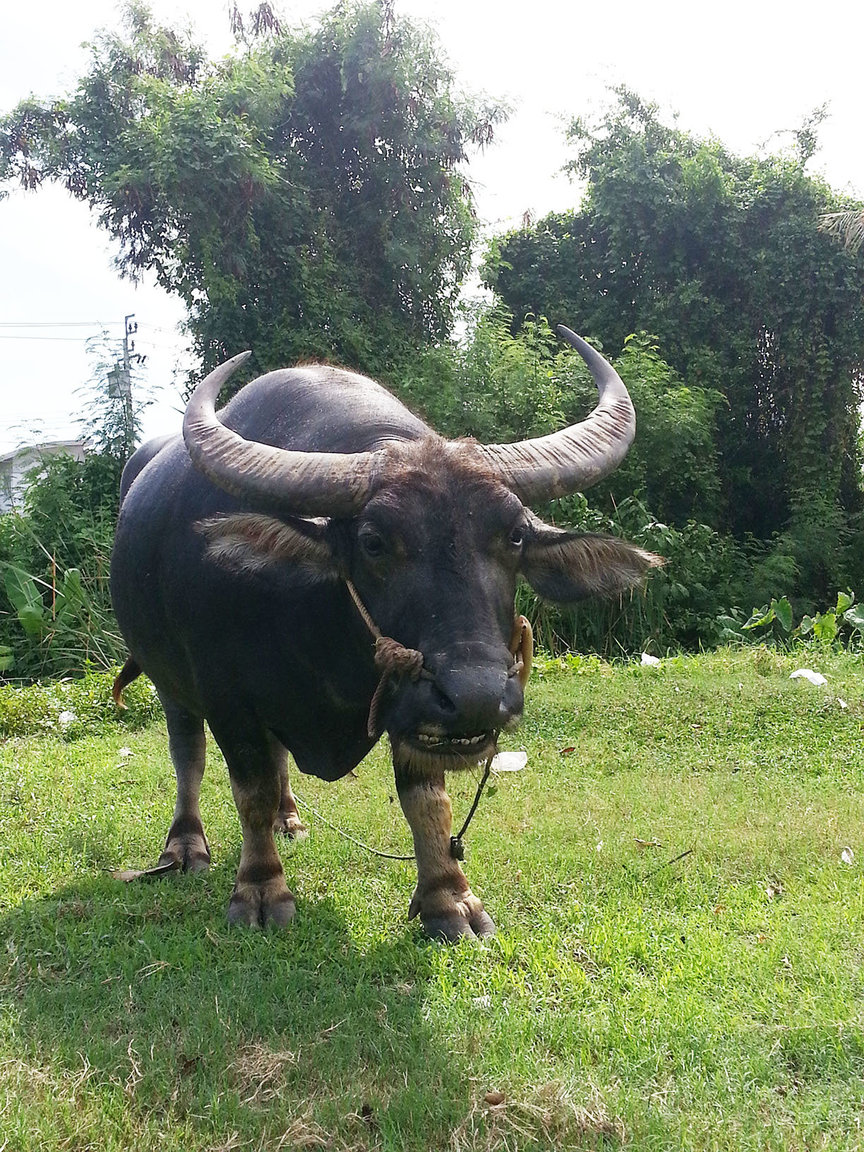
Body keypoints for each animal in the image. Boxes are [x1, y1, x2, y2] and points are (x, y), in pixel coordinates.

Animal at [111, 326, 660, 940]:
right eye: (373, 541)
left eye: (516, 535)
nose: (476, 696)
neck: (323, 643)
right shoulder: (229, 699)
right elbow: (248, 790)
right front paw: (259, 890)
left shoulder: (414, 702)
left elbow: (427, 800)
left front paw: (449, 901)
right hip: (167, 680)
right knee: (188, 752)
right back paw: (186, 845)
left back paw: (289, 818)